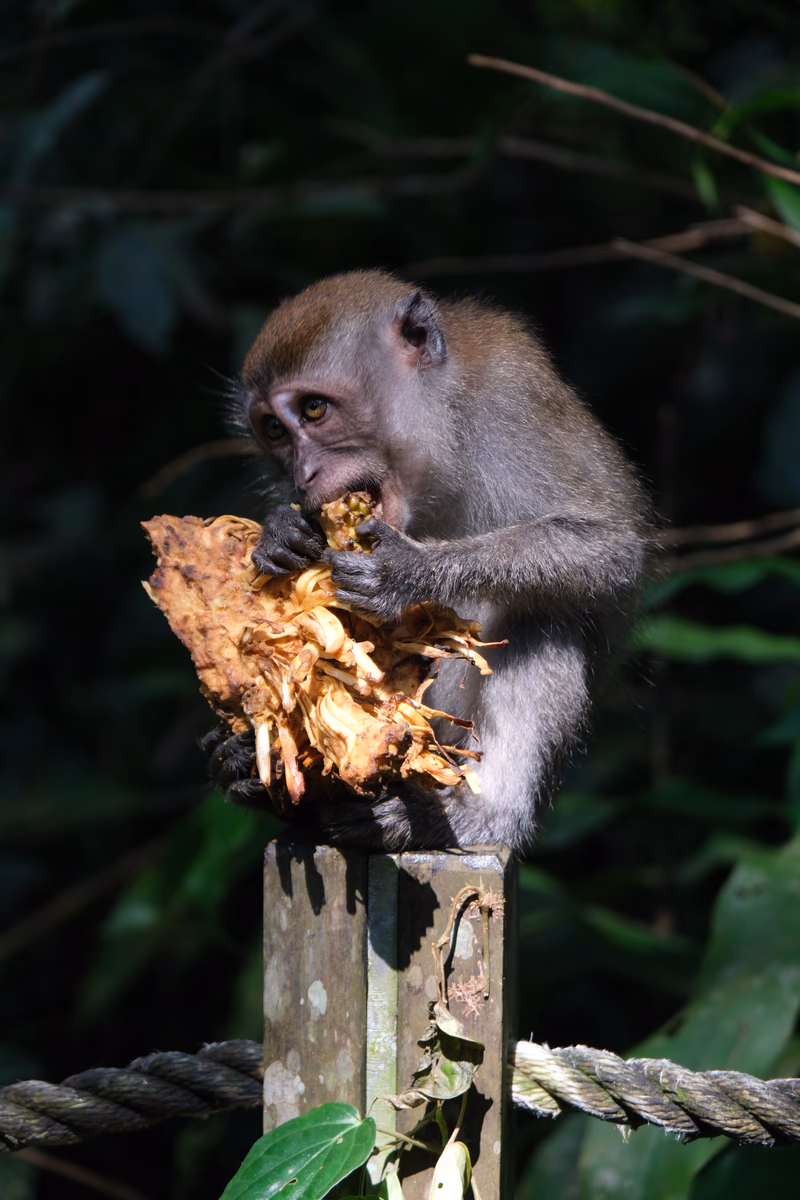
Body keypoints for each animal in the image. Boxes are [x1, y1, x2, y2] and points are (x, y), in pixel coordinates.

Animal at [203, 269, 650, 852]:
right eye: (274, 430)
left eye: (314, 410)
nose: (303, 475)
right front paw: (281, 533)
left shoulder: (513, 401)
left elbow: (609, 548)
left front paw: (407, 573)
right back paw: (245, 769)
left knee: (544, 619)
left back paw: (477, 817)